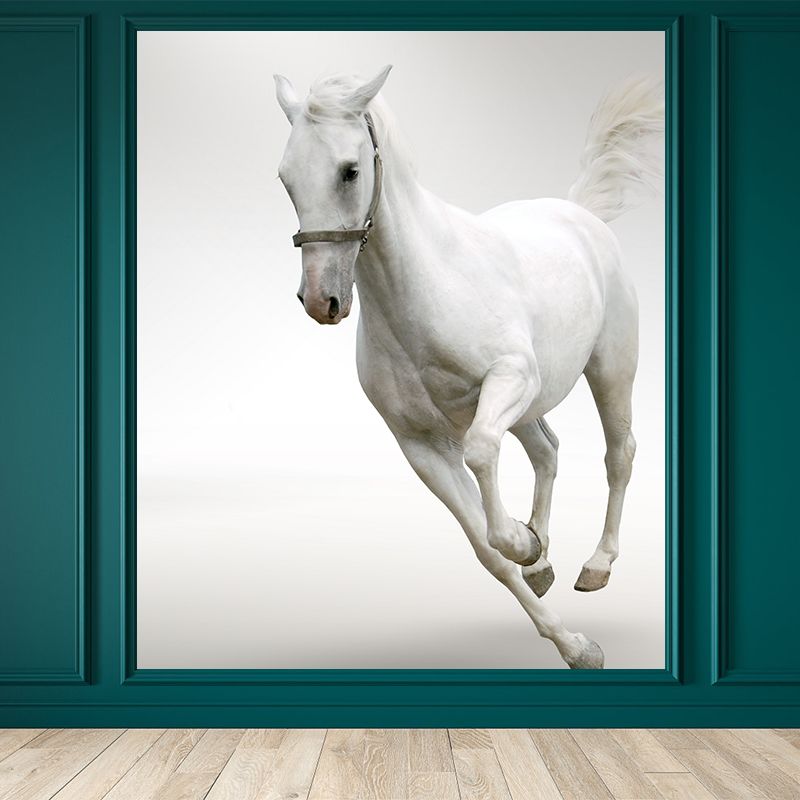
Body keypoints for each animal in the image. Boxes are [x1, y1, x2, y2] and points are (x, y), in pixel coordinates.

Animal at [274, 66, 663, 668]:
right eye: (286, 178)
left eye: (349, 171)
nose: (321, 301)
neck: (426, 289)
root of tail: (580, 213)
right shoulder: (421, 446)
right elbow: (487, 550)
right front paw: (571, 637)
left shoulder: (508, 380)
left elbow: (482, 455)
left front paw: (527, 548)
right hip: (530, 406)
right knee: (548, 451)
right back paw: (544, 561)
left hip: (610, 370)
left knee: (619, 454)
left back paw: (595, 565)